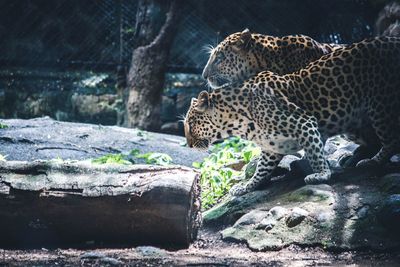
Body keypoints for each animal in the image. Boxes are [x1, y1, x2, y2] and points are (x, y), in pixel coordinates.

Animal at [186, 36, 400, 197]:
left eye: (191, 123)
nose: (188, 144)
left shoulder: (305, 123)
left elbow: (315, 152)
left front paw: (321, 174)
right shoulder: (271, 147)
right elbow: (261, 169)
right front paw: (246, 186)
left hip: (379, 106)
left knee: (391, 140)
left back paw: (372, 161)